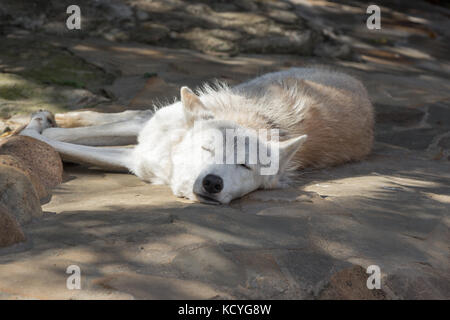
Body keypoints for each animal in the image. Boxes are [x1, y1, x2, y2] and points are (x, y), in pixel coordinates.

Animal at [20, 66, 372, 204]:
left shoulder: (133, 160)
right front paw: (34, 124)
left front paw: (35, 129)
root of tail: (358, 82)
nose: (213, 182)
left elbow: (52, 142)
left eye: (245, 166)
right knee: (128, 116)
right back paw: (47, 116)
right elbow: (53, 138)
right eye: (207, 149)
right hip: (159, 116)